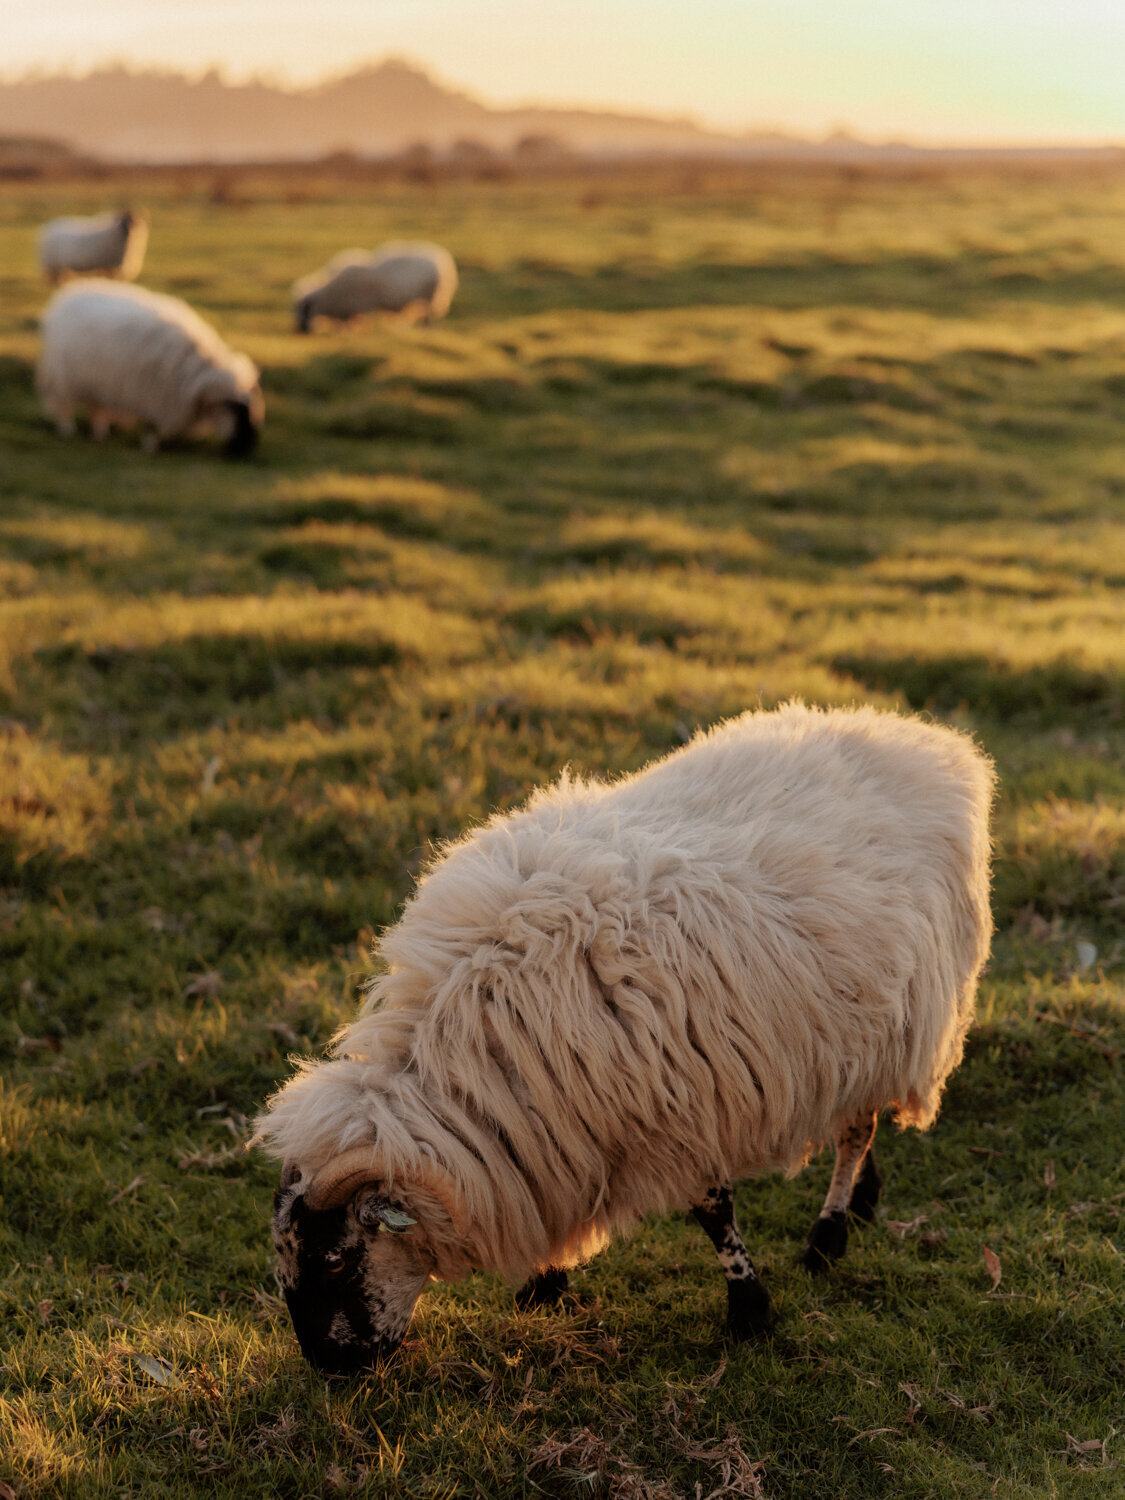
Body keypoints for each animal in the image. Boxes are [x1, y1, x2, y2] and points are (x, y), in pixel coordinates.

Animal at [35, 280, 267, 456]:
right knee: (64, 406)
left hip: (98, 381)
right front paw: (149, 448)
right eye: (236, 411)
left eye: (254, 412)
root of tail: (69, 294)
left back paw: (99, 433)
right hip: (64, 377)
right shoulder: (153, 397)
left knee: (97, 407)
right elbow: (151, 426)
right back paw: (67, 430)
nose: (247, 451)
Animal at [258, 702, 996, 1374]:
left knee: (855, 1129)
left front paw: (749, 1310)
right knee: (856, 1116)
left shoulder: (682, 1109)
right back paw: (864, 1197)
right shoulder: (564, 1126)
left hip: (900, 1018)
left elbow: (714, 1212)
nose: (328, 1367)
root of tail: (922, 738)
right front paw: (546, 1280)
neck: (476, 1068)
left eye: (336, 1257)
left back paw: (828, 1233)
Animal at [297, 240, 465, 331]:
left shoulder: (362, 306)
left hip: (434, 297)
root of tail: (446, 261)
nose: (299, 330)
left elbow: (356, 324)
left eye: (305, 309)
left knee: (432, 318)